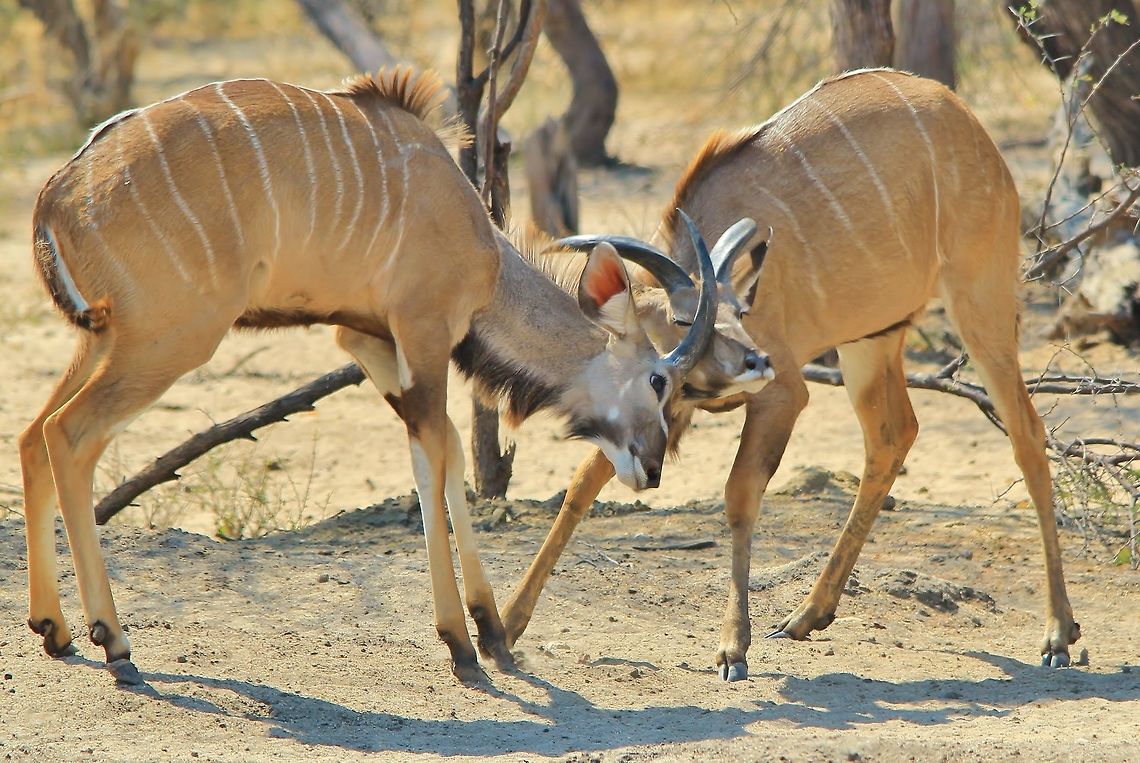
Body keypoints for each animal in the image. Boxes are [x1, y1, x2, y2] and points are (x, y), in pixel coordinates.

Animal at [18, 67, 739, 685]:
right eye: (659, 380)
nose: (652, 467)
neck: (471, 226)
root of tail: (60, 191)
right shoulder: (422, 333)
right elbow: (434, 455)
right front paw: (461, 644)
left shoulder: (366, 338)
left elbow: (449, 447)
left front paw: (491, 633)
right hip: (168, 341)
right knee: (68, 435)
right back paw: (114, 641)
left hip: (108, 340)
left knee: (31, 434)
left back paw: (55, 628)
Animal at [499, 69, 1082, 678]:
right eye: (685, 319)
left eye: (740, 312)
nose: (756, 361)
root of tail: (972, 126)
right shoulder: (661, 416)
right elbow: (582, 485)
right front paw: (506, 625)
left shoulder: (783, 396)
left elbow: (738, 494)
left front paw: (733, 647)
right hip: (871, 341)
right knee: (894, 435)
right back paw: (809, 614)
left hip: (980, 306)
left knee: (1026, 433)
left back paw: (1058, 635)